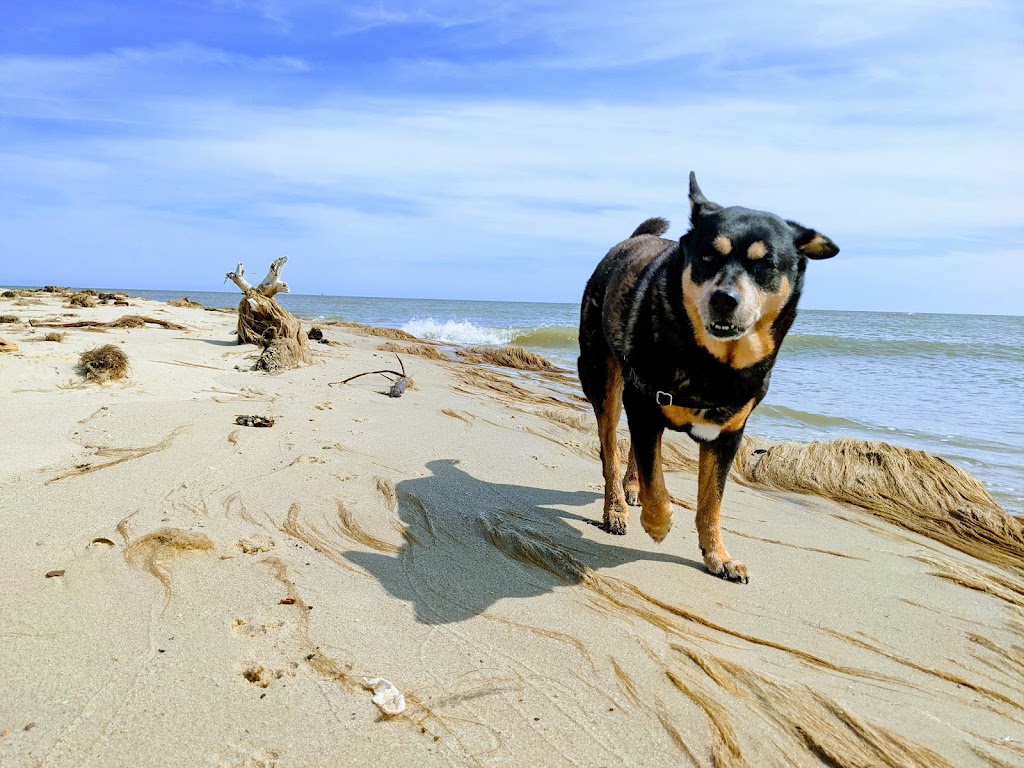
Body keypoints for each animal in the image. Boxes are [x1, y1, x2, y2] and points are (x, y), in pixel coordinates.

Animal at [581, 173, 835, 581]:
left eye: (765, 264)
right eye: (707, 257)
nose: (724, 299)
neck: (713, 361)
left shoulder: (728, 433)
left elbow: (711, 501)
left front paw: (719, 556)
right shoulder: (642, 402)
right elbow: (656, 480)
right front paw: (658, 522)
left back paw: (631, 489)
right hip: (603, 380)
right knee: (610, 449)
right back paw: (616, 508)